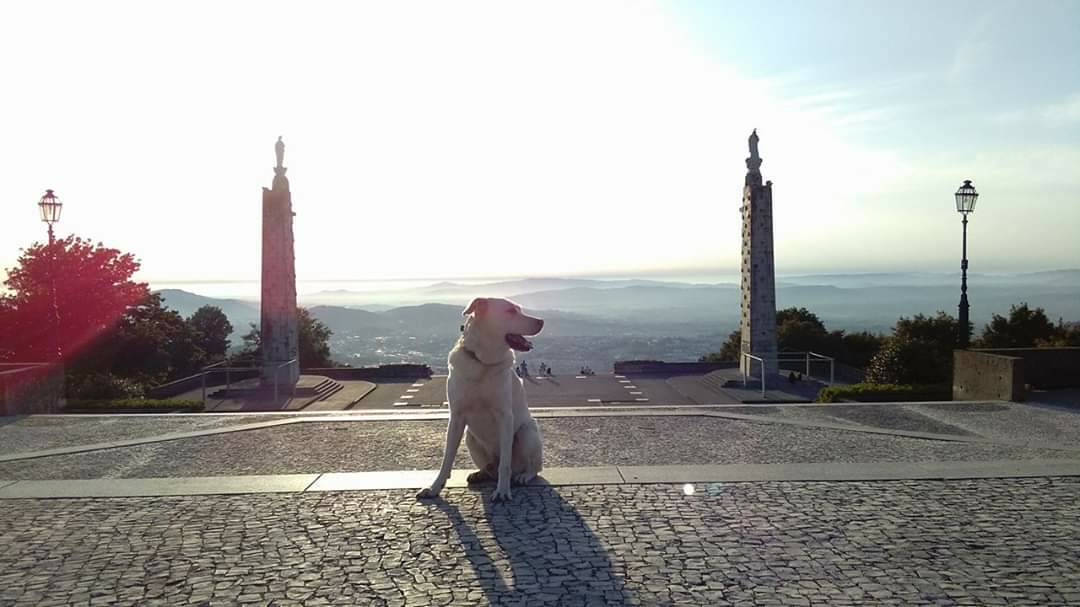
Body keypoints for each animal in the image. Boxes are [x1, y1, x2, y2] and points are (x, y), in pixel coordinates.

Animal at [416, 295, 544, 498]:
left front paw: (502, 491)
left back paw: (522, 476)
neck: (482, 362)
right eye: (510, 311)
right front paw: (434, 487)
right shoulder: (456, 418)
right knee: (491, 468)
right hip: (470, 437)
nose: (541, 321)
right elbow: (447, 459)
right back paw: (481, 473)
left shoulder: (505, 416)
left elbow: (505, 465)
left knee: (531, 467)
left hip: (527, 433)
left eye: (519, 309)